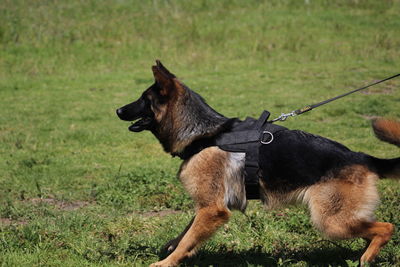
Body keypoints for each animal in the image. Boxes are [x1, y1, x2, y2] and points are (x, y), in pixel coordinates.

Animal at [116, 60, 400, 267]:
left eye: (143, 99)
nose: (117, 110)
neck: (203, 135)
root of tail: (361, 157)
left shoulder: (213, 209)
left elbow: (188, 239)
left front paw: (167, 263)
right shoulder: (208, 206)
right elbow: (187, 233)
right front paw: (172, 249)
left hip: (330, 221)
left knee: (387, 227)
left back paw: (366, 258)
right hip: (339, 220)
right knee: (373, 230)